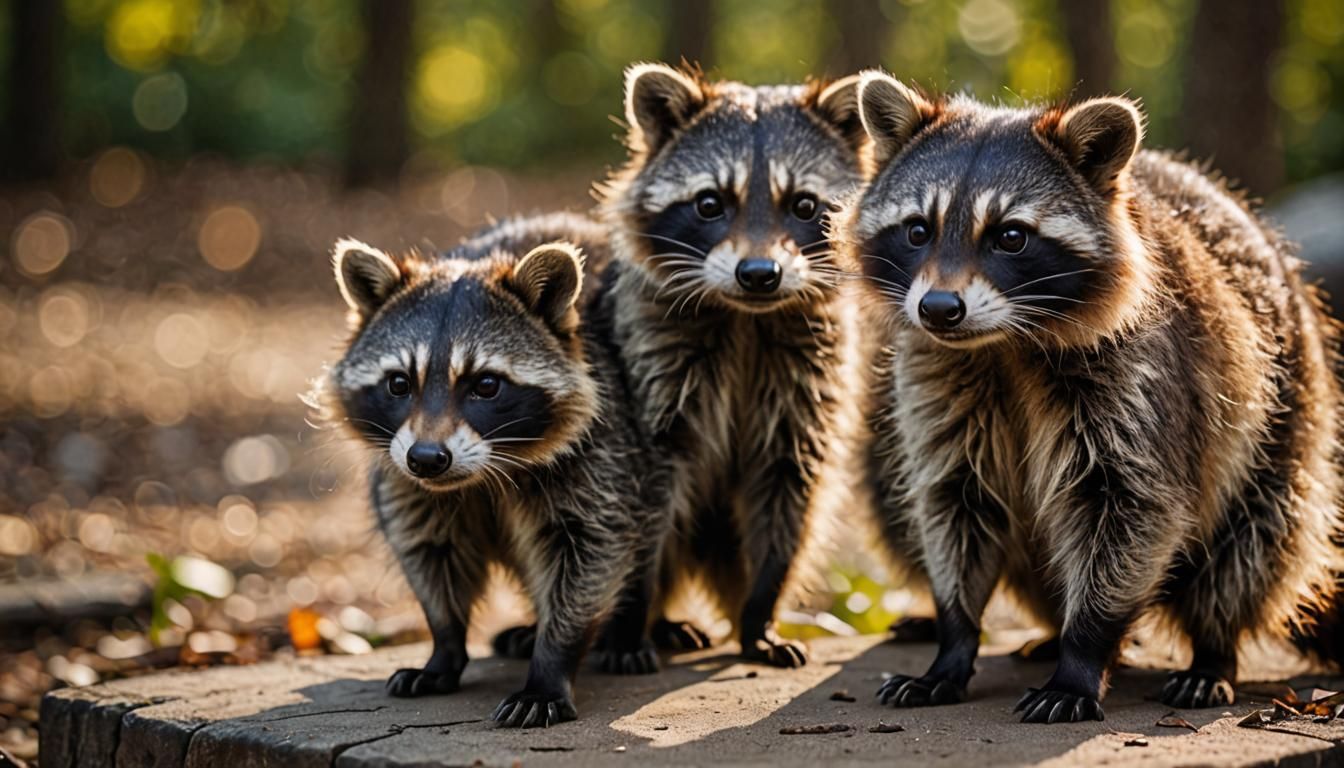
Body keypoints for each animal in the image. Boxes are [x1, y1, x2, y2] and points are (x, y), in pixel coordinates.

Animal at [316, 213, 662, 727]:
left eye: (485, 385)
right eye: (399, 383)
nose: (427, 458)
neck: (481, 478)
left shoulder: (603, 454)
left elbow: (591, 551)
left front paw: (553, 660)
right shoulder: (406, 483)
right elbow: (430, 552)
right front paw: (444, 647)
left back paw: (632, 628)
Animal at [593, 63, 874, 667]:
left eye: (804, 205)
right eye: (709, 203)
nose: (759, 274)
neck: (747, 317)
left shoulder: (808, 382)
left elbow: (790, 491)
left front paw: (760, 613)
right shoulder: (652, 362)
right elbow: (639, 498)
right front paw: (627, 620)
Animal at [840, 72, 1344, 722]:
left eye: (1010, 236)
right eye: (917, 230)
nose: (939, 309)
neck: (1004, 344)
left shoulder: (1142, 377)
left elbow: (1133, 507)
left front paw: (1083, 654)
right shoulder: (940, 382)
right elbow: (955, 502)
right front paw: (954, 639)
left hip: (1288, 419)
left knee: (1253, 543)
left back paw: (1212, 649)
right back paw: (1054, 630)